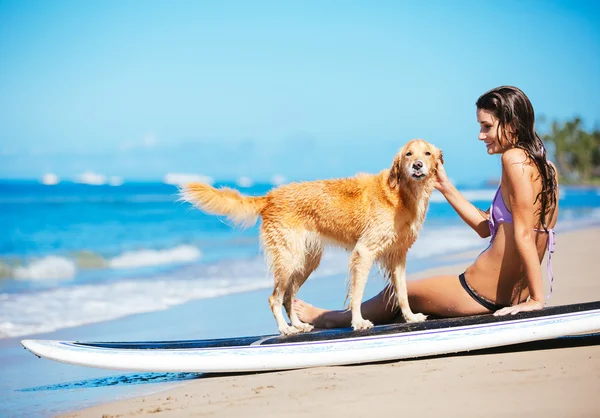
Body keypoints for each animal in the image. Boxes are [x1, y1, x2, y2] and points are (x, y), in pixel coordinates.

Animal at [180, 139, 442, 334]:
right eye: (408, 154)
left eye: (427, 153)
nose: (417, 165)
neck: (401, 194)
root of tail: (270, 197)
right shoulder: (364, 252)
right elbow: (357, 294)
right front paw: (358, 322)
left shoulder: (398, 257)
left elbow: (403, 293)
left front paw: (410, 317)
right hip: (288, 259)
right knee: (275, 298)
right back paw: (286, 329)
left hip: (305, 262)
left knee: (288, 297)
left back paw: (298, 325)